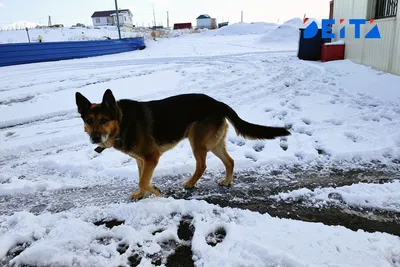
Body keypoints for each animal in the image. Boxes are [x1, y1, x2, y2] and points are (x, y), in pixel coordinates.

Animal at [75, 90, 290, 201]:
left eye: (104, 120)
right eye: (88, 120)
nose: (94, 138)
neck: (121, 121)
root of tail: (219, 103)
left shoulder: (152, 157)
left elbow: (143, 180)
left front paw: (156, 192)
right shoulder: (141, 160)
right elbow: (141, 179)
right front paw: (142, 194)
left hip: (198, 142)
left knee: (202, 165)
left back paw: (190, 183)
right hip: (214, 144)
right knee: (230, 161)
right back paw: (228, 181)